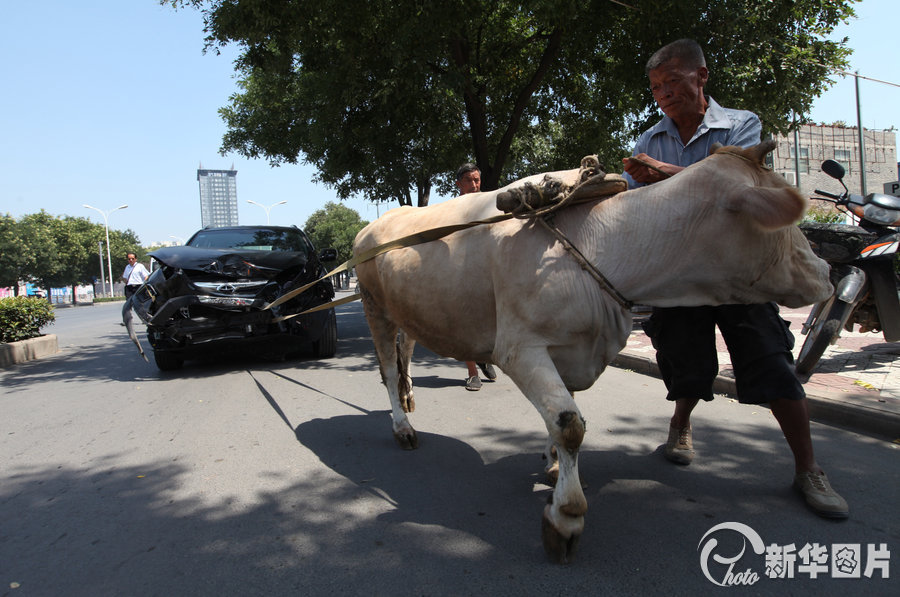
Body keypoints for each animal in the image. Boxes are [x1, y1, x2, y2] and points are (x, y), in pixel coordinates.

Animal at [350, 141, 828, 564]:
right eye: (785, 218)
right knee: (387, 370)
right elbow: (569, 424)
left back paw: (411, 397)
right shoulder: (519, 349)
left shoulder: (572, 350)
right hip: (374, 306)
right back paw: (402, 426)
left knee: (406, 351)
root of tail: (374, 226)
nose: (826, 269)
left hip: (409, 309)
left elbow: (564, 414)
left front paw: (552, 467)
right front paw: (566, 516)